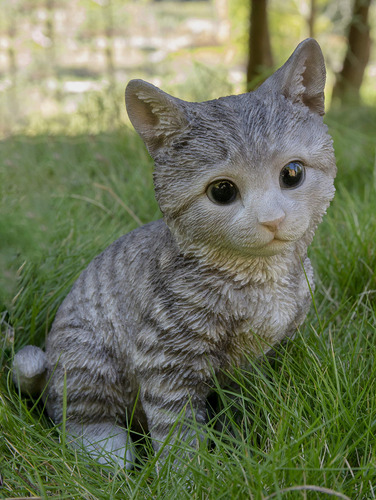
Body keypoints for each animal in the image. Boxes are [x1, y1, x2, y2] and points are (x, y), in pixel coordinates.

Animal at [12, 39, 334, 468]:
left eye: (292, 173)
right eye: (222, 191)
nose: (273, 219)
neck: (264, 280)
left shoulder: (263, 357)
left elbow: (248, 404)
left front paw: (245, 445)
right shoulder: (166, 359)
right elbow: (177, 432)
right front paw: (190, 474)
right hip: (87, 357)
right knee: (73, 414)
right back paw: (108, 452)